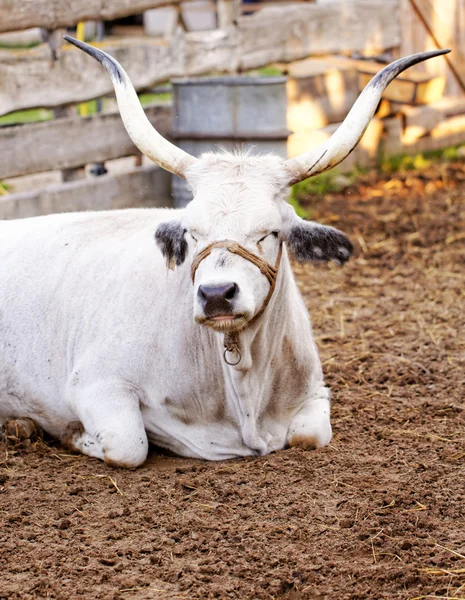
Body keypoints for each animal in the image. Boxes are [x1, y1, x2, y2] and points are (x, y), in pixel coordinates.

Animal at [0, 39, 446, 466]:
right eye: (192, 232)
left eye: (271, 232)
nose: (216, 295)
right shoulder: (97, 385)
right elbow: (129, 445)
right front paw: (71, 433)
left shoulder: (316, 393)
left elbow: (310, 435)